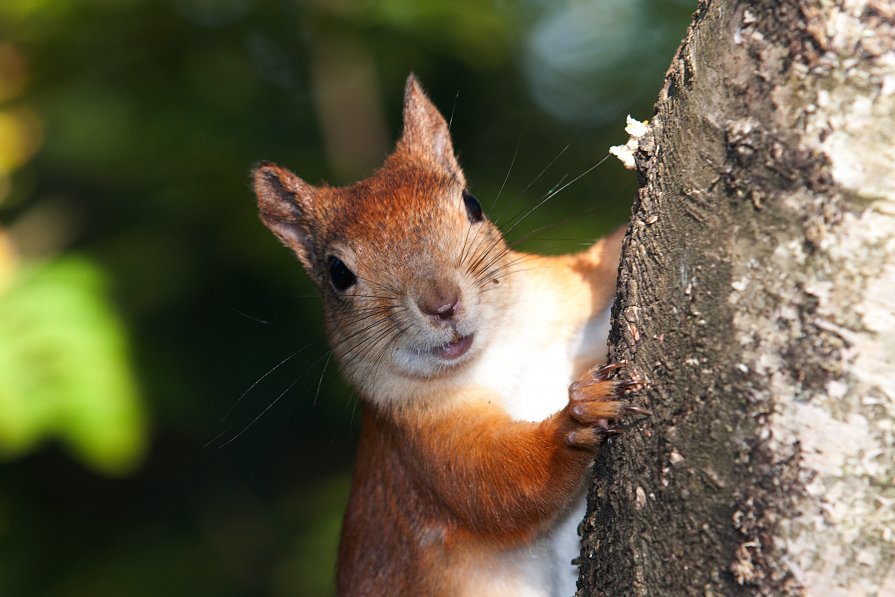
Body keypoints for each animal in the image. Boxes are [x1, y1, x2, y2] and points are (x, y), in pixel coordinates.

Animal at [254, 75, 636, 596]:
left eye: (472, 205)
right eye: (337, 273)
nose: (442, 304)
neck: (499, 350)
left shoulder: (563, 299)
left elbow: (599, 268)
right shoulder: (420, 440)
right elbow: (500, 486)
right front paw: (578, 421)